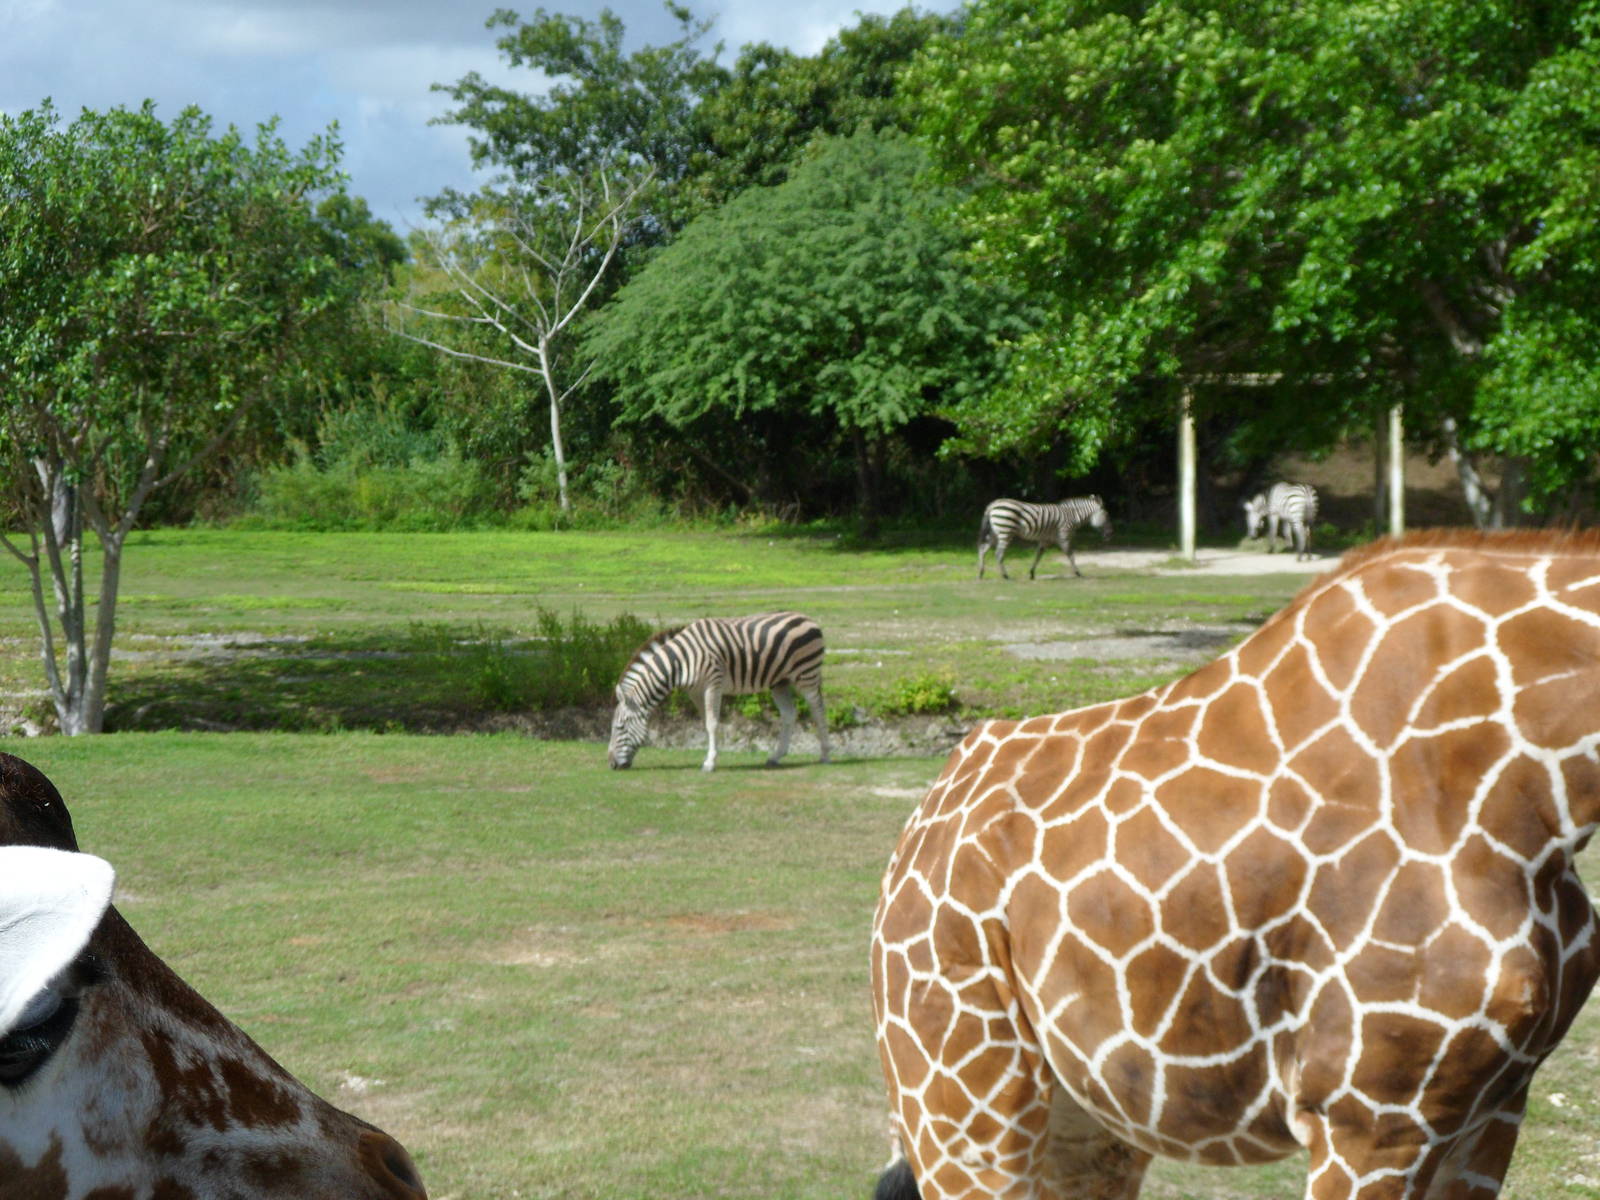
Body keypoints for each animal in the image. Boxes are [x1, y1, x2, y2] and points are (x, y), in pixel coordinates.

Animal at [607, 612, 830, 773]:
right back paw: (776, 756)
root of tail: (808, 618)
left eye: (620, 727)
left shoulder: (713, 684)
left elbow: (712, 723)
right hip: (780, 682)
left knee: (818, 709)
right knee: (789, 714)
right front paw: (711, 756)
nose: (611, 764)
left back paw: (825, 755)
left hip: (806, 674)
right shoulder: (695, 692)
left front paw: (709, 763)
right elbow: (706, 723)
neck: (680, 662)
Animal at [872, 529, 1600, 1200]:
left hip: (1082, 1114)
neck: (1538, 794)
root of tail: (917, 832)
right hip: (965, 1095)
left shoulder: (1493, 1106)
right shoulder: (1371, 1115)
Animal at [977, 496, 1113, 580]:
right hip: (1005, 530)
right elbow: (1070, 555)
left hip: (995, 533)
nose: (1110, 533)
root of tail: (993, 505)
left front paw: (1032, 573)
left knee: (982, 549)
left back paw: (981, 573)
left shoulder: (1045, 540)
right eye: (1106, 515)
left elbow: (1038, 555)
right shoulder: (1064, 535)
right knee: (999, 553)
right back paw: (1005, 576)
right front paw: (1078, 573)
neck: (1073, 516)